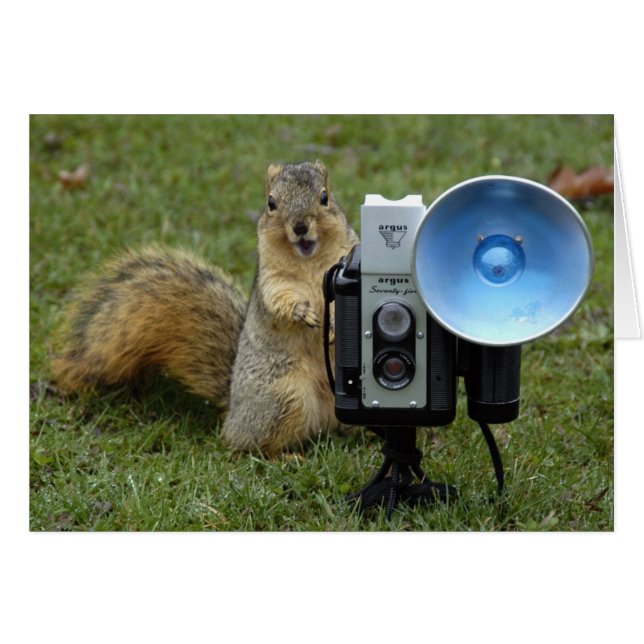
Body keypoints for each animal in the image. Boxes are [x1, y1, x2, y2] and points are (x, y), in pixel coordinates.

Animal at [52, 160, 359, 454]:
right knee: (248, 445)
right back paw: (285, 456)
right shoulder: (272, 280)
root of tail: (233, 409)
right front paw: (301, 312)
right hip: (284, 397)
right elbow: (279, 300)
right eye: (271, 203)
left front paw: (334, 323)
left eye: (325, 197)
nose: (299, 226)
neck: (309, 261)